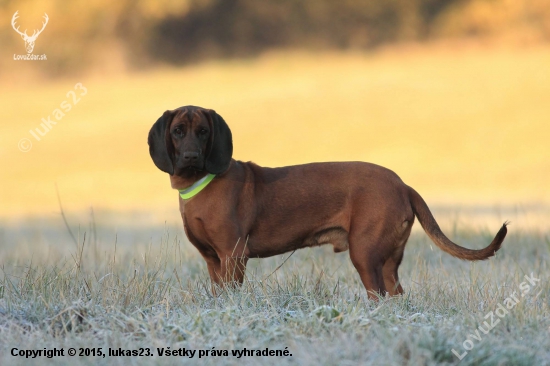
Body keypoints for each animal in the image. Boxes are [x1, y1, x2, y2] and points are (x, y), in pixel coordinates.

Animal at [149, 104, 512, 298]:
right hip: (388, 260)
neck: (200, 185)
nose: (191, 157)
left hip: (364, 254)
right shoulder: (212, 260)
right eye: (178, 131)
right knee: (396, 296)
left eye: (204, 132)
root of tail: (403, 185)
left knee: (378, 297)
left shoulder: (233, 256)